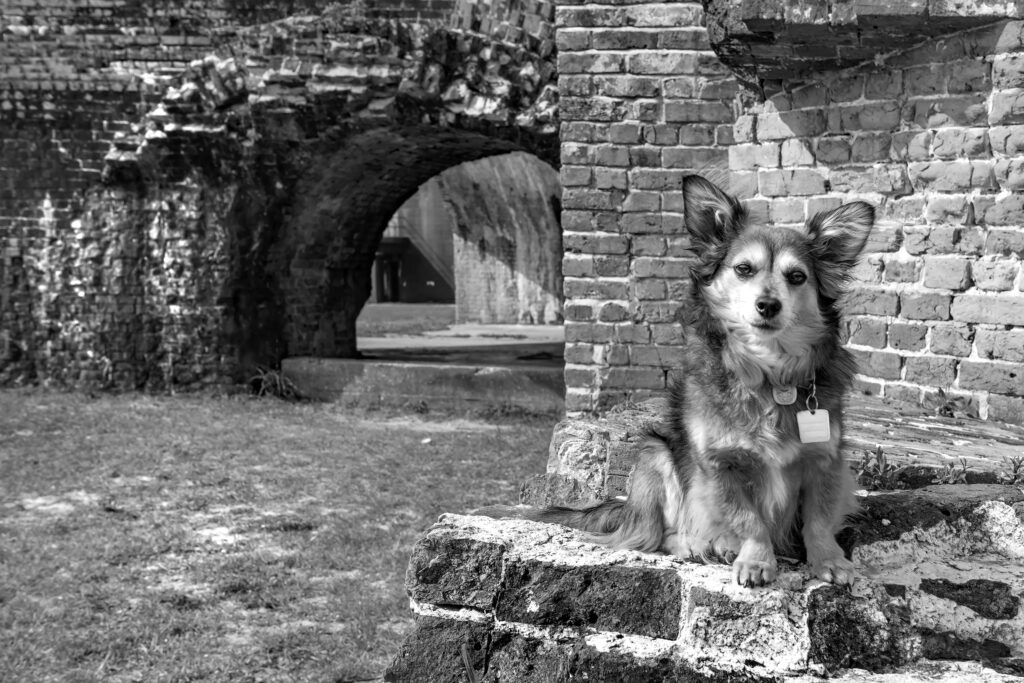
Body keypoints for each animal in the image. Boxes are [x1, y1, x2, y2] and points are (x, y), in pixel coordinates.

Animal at [479, 175, 872, 589]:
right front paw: (756, 559)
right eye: (744, 269)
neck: (771, 373)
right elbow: (749, 519)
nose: (768, 305)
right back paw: (702, 545)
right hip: (655, 457)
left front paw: (829, 559)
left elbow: (819, 519)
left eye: (797, 277)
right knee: (657, 534)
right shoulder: (720, 465)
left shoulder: (825, 460)